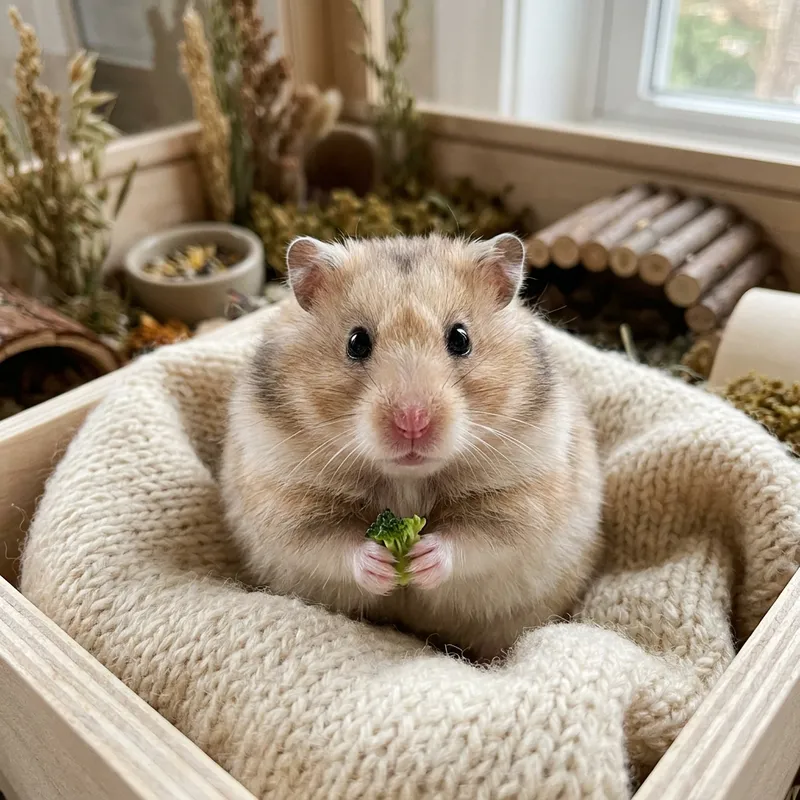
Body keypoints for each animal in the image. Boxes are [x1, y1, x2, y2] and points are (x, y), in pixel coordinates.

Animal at [220, 233, 603, 661]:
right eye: (356, 342)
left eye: (460, 338)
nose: (413, 421)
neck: (407, 478)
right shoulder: (284, 501)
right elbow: (326, 543)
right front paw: (383, 565)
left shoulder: (523, 499)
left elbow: (479, 539)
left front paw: (421, 560)